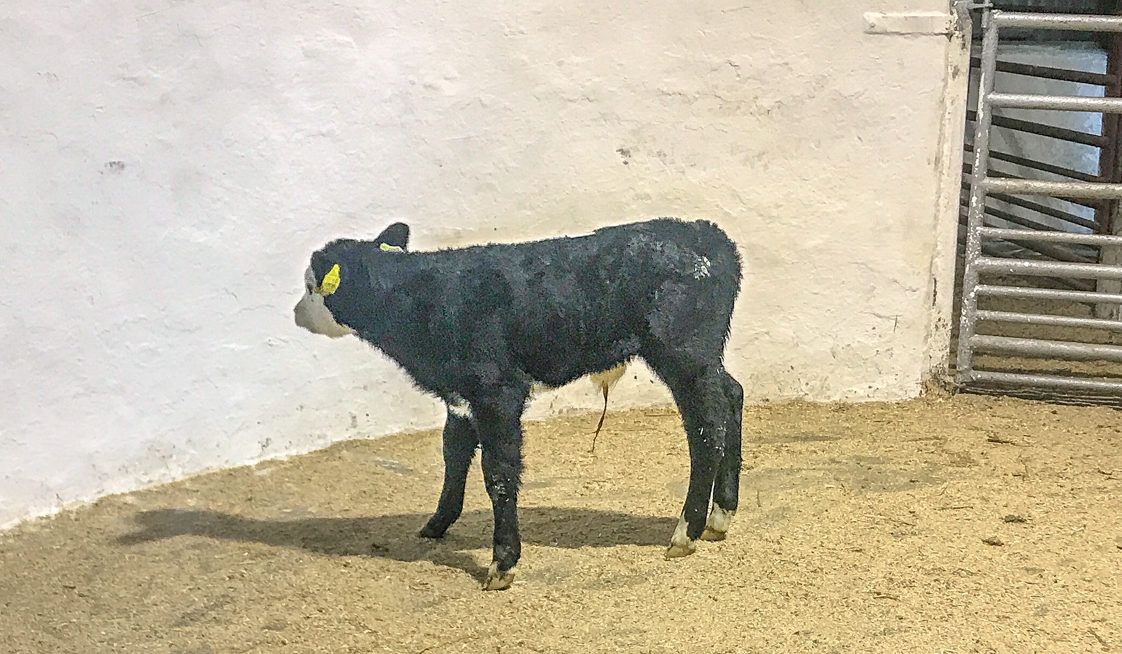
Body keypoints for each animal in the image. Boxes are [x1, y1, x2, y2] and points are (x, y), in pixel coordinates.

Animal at [293, 217, 744, 590]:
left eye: (312, 286)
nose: (297, 314)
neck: (423, 297)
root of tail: (707, 235)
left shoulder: (497, 392)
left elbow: (498, 473)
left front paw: (502, 562)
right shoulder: (461, 396)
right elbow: (453, 454)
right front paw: (436, 524)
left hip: (683, 354)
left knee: (707, 429)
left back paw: (687, 531)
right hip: (703, 358)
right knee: (732, 396)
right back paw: (720, 515)